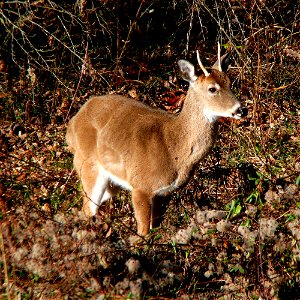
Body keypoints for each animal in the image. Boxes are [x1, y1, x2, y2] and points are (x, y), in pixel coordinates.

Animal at [67, 44, 247, 237]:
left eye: (230, 82)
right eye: (212, 89)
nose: (241, 110)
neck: (174, 147)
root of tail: (72, 124)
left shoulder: (164, 193)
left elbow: (155, 228)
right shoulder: (141, 186)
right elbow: (143, 232)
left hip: (111, 183)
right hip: (88, 165)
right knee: (88, 208)